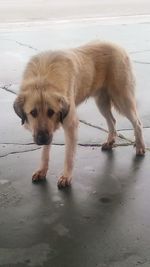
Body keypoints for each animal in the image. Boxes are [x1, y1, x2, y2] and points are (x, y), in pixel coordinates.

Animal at [13, 41, 145, 188]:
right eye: (33, 113)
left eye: (51, 112)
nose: (42, 139)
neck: (42, 79)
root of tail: (118, 46)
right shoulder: (47, 131)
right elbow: (44, 152)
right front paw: (42, 170)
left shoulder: (70, 125)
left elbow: (69, 155)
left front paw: (66, 176)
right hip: (102, 103)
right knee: (112, 120)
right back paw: (110, 141)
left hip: (122, 99)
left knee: (137, 123)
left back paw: (140, 147)